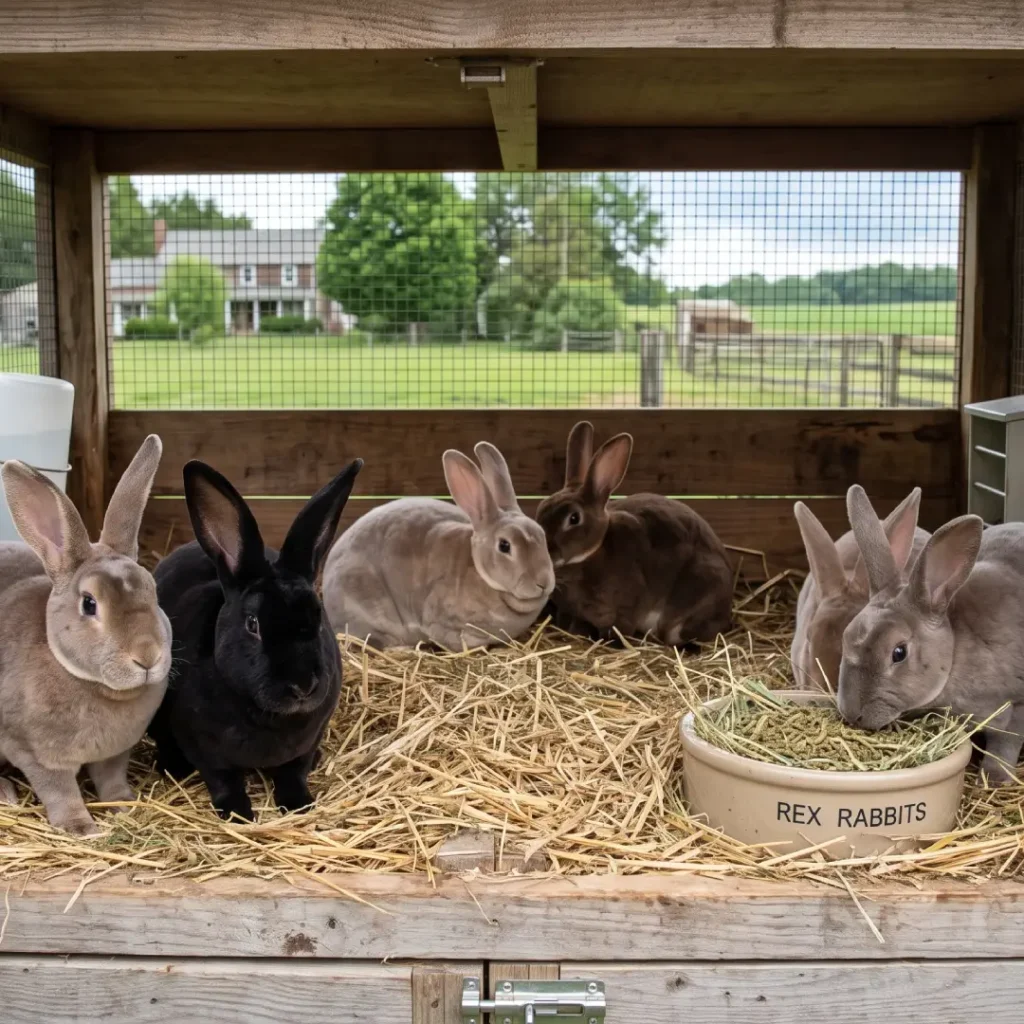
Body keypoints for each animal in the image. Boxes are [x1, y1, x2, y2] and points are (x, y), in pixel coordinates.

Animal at [0, 435, 172, 835]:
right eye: (90, 604)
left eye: (153, 590)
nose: (148, 656)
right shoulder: (33, 753)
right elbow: (59, 790)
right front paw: (80, 827)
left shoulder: (115, 753)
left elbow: (110, 778)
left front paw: (123, 806)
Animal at [149, 457, 362, 822]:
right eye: (253, 625)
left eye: (319, 618)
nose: (303, 686)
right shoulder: (204, 748)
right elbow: (223, 780)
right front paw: (238, 813)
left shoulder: (307, 742)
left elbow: (293, 772)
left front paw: (298, 804)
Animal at [839, 484, 1024, 783]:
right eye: (845, 636)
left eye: (898, 652)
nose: (852, 714)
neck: (955, 651)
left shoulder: (1017, 705)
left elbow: (1005, 744)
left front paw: (994, 778)